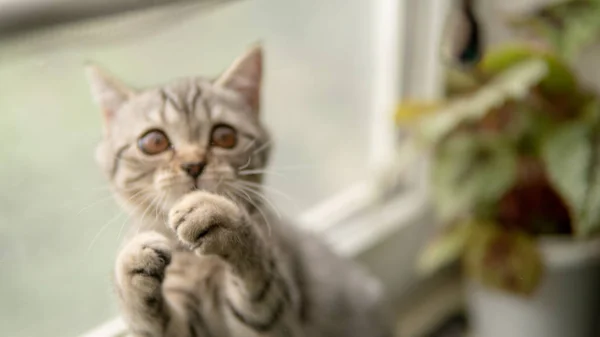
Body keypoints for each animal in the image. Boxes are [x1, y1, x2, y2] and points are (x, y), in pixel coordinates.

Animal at [85, 45, 394, 336]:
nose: (193, 164)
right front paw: (130, 269)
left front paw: (221, 219)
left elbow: (260, 277)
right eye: (153, 142)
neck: (195, 262)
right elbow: (153, 324)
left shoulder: (279, 321)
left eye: (224, 137)